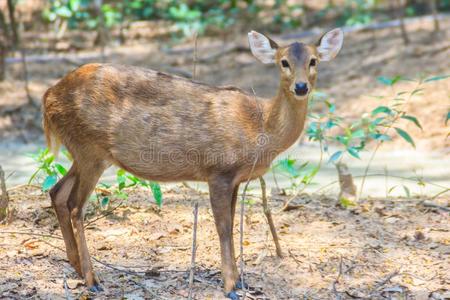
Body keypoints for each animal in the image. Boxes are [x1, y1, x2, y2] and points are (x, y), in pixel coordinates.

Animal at [43, 27, 344, 298]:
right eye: (284, 62)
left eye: (313, 60)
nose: (301, 87)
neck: (259, 126)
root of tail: (48, 97)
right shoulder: (219, 170)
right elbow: (223, 227)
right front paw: (230, 287)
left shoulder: (235, 178)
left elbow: (232, 224)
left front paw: (240, 281)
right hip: (89, 148)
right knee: (75, 206)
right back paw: (92, 280)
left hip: (84, 152)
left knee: (57, 191)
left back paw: (77, 266)